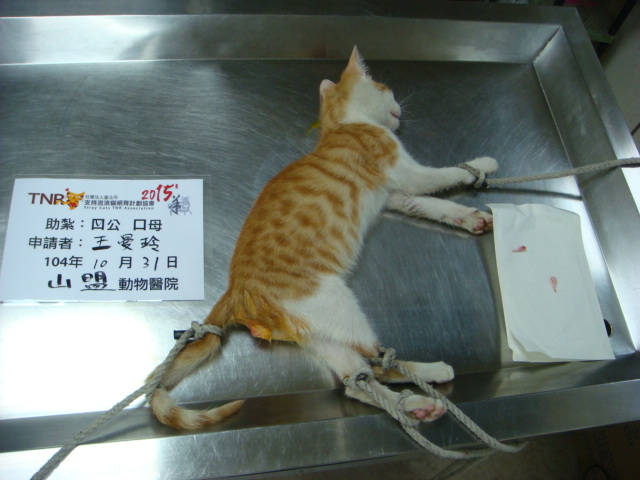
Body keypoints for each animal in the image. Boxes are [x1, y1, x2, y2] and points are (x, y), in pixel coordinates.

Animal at [148, 47, 498, 429]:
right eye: (385, 87)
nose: (399, 108)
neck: (340, 124)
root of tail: (235, 291)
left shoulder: (396, 195)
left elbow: (435, 205)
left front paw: (467, 216)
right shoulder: (406, 173)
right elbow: (444, 175)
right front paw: (481, 165)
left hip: (320, 332)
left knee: (358, 382)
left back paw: (416, 401)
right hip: (339, 307)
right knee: (378, 362)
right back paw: (425, 384)